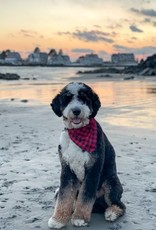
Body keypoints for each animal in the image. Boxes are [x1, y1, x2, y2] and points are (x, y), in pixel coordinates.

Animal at [48, 81, 125, 228]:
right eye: (67, 99)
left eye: (84, 98)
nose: (76, 110)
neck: (78, 132)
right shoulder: (67, 169)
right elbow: (64, 195)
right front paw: (58, 219)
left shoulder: (93, 169)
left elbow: (86, 195)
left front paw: (80, 218)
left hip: (110, 182)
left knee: (120, 204)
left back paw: (111, 212)